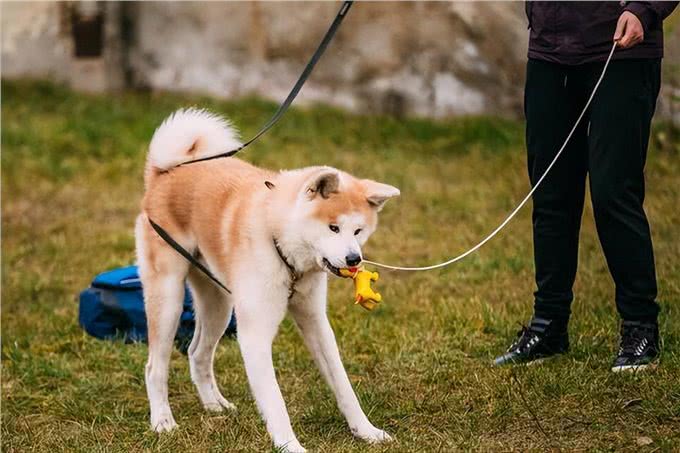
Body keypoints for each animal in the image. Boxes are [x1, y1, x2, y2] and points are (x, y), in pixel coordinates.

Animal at [135, 107, 398, 450]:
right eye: (333, 228)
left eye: (358, 231)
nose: (354, 259)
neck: (280, 241)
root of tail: (164, 172)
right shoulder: (255, 334)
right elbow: (275, 401)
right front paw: (291, 446)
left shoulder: (316, 322)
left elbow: (343, 386)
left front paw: (366, 431)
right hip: (169, 300)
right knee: (155, 367)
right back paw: (163, 421)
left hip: (219, 305)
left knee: (197, 353)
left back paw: (214, 405)